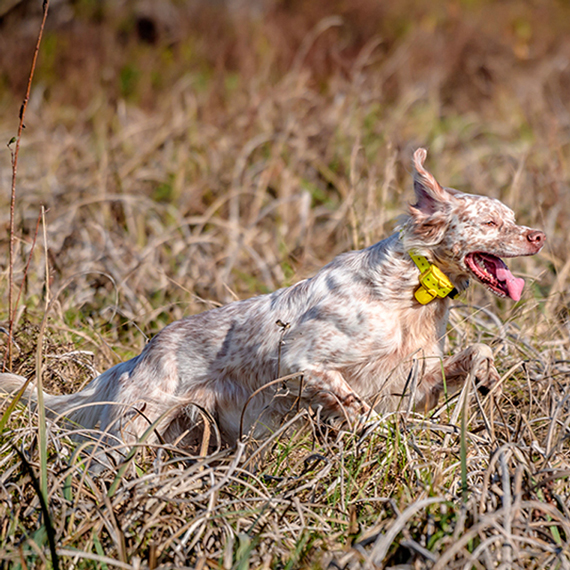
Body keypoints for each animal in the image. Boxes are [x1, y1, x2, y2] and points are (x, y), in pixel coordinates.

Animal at [0, 148, 540, 452]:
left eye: (513, 218)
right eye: (491, 222)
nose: (538, 236)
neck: (410, 291)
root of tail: (138, 357)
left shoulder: (412, 380)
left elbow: (479, 352)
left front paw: (489, 384)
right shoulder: (303, 360)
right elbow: (355, 403)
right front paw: (383, 437)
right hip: (129, 437)